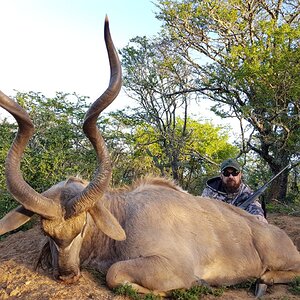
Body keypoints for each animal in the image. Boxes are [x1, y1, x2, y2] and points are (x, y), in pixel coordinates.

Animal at [0, 16, 300, 298]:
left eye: (83, 227)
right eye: (46, 232)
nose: (67, 275)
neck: (122, 215)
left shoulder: (171, 265)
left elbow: (115, 274)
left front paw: (193, 285)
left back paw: (262, 281)